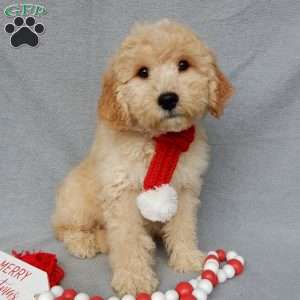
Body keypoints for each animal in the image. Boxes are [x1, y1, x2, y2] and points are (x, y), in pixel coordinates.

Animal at [52, 19, 233, 296]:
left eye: (183, 64)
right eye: (143, 72)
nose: (168, 98)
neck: (159, 141)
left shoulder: (184, 189)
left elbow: (183, 226)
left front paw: (187, 256)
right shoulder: (122, 194)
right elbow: (129, 240)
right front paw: (134, 278)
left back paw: (102, 241)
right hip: (76, 203)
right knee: (65, 229)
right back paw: (83, 242)